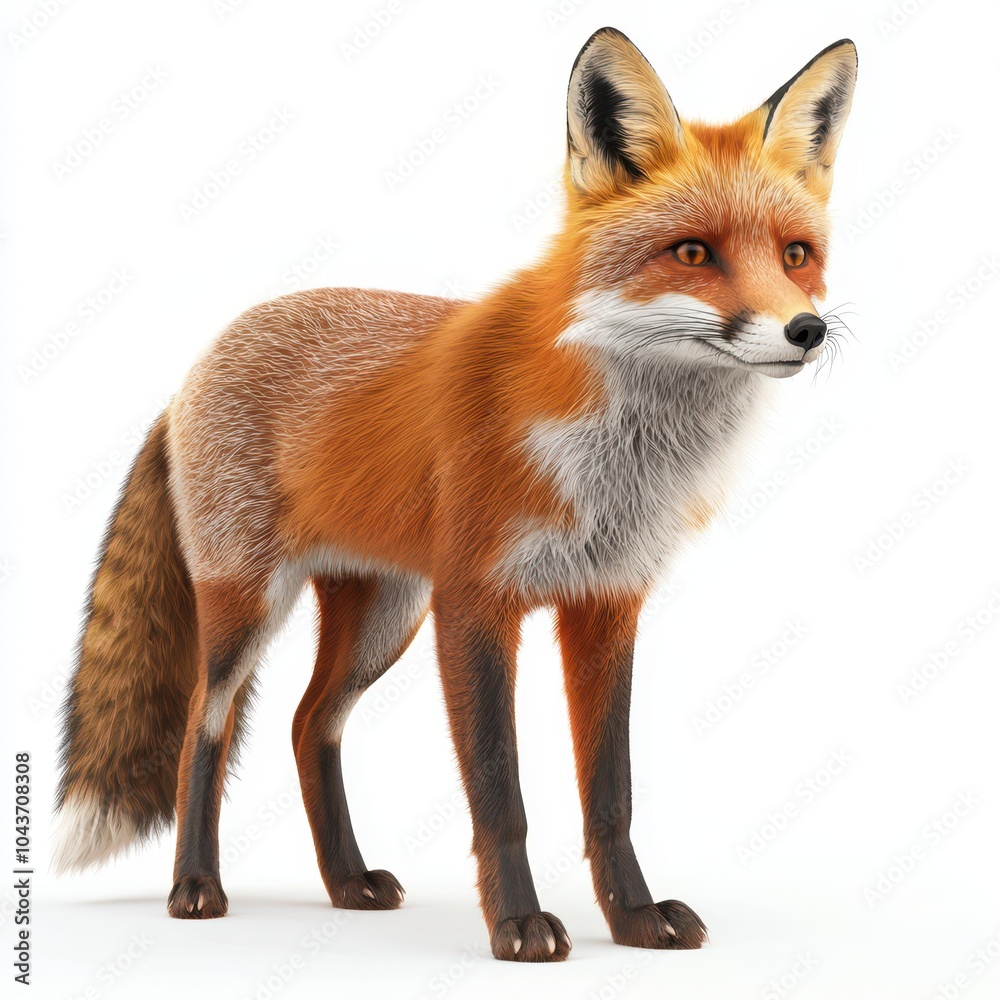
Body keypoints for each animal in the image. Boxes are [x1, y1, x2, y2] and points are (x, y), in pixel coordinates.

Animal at [54, 28, 857, 962]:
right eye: (693, 252)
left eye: (796, 255)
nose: (807, 330)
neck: (614, 462)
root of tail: (190, 373)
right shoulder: (476, 603)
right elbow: (499, 795)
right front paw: (517, 926)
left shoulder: (606, 603)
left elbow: (610, 796)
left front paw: (633, 919)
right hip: (249, 604)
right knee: (202, 728)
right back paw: (195, 888)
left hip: (384, 615)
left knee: (307, 724)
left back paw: (347, 884)